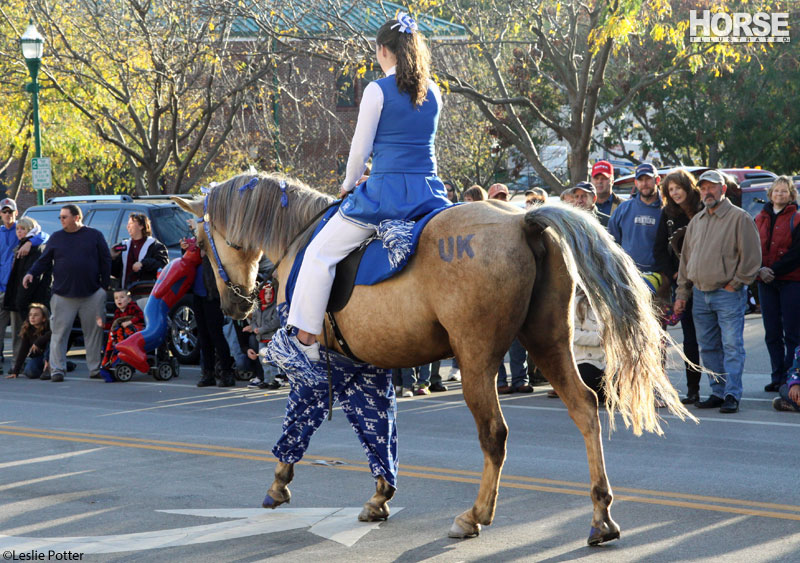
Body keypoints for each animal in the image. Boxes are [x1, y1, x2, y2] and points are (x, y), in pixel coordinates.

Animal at [175, 175, 692, 548]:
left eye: (199, 239)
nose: (234, 304)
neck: (299, 238)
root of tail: (523, 220)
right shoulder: (367, 367)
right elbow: (378, 430)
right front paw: (380, 496)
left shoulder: (319, 365)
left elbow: (300, 423)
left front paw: (280, 483)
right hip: (548, 342)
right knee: (585, 408)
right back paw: (601, 516)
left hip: (478, 359)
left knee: (495, 434)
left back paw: (476, 515)